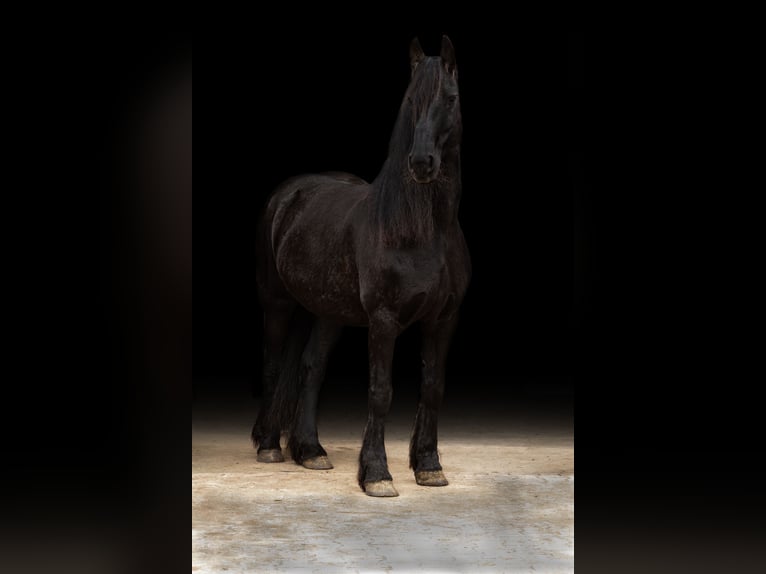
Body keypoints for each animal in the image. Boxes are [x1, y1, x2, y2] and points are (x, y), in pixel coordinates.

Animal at [251, 36, 471, 497]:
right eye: (411, 99)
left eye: (450, 98)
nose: (421, 162)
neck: (425, 230)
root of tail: (287, 194)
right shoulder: (384, 320)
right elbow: (380, 391)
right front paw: (377, 474)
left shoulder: (443, 319)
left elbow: (433, 388)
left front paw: (429, 466)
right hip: (277, 303)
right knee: (274, 364)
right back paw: (270, 446)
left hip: (326, 311)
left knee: (310, 368)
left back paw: (311, 451)